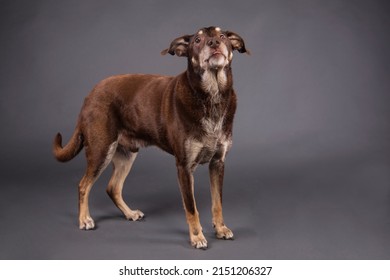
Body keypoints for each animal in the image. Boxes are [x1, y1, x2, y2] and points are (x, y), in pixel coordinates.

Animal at [52, 26, 247, 249]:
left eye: (222, 36)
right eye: (197, 40)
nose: (214, 43)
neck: (211, 96)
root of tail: (90, 94)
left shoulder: (218, 163)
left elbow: (217, 203)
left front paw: (221, 228)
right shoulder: (184, 167)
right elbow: (191, 208)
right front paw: (197, 236)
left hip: (126, 155)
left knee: (112, 188)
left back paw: (129, 213)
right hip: (101, 149)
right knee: (84, 185)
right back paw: (84, 219)